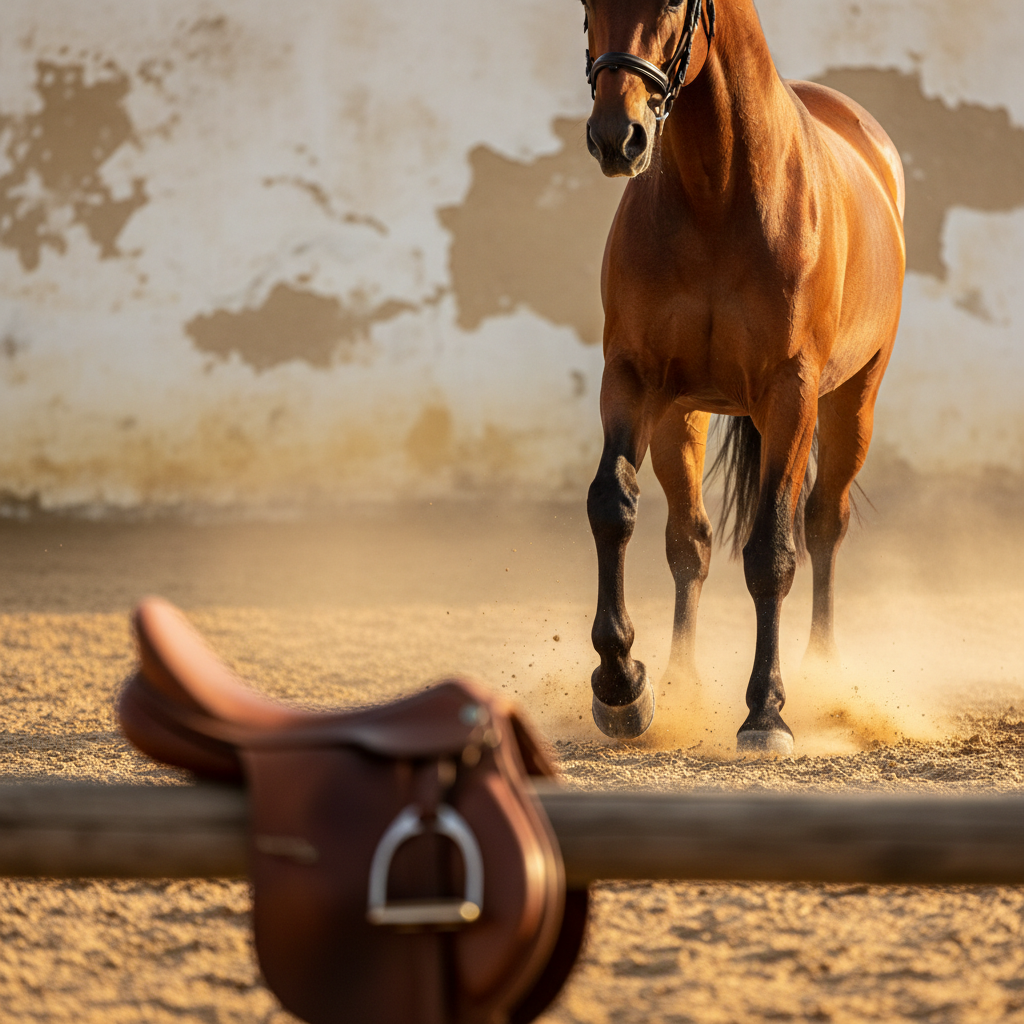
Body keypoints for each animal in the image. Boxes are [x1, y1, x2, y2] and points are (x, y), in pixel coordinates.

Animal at [580, 0, 906, 751]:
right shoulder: (633, 381)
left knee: (823, 523)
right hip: (684, 417)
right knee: (689, 541)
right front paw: (622, 686)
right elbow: (612, 506)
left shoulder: (790, 396)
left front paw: (766, 713)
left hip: (851, 404)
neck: (718, 192)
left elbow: (772, 554)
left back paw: (822, 676)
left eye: (674, 4)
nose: (617, 137)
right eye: (585, 5)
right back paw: (679, 682)